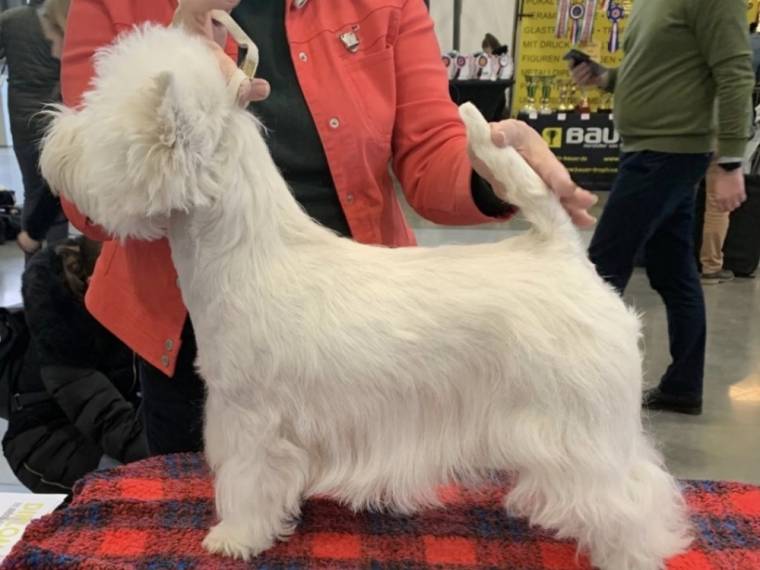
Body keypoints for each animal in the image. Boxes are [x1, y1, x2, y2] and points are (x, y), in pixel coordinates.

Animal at [40, 25, 691, 570]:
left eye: (100, 124)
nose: (51, 134)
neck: (245, 252)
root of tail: (563, 254)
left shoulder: (250, 417)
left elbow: (247, 483)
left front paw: (235, 537)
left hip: (582, 430)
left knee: (631, 497)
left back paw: (627, 554)